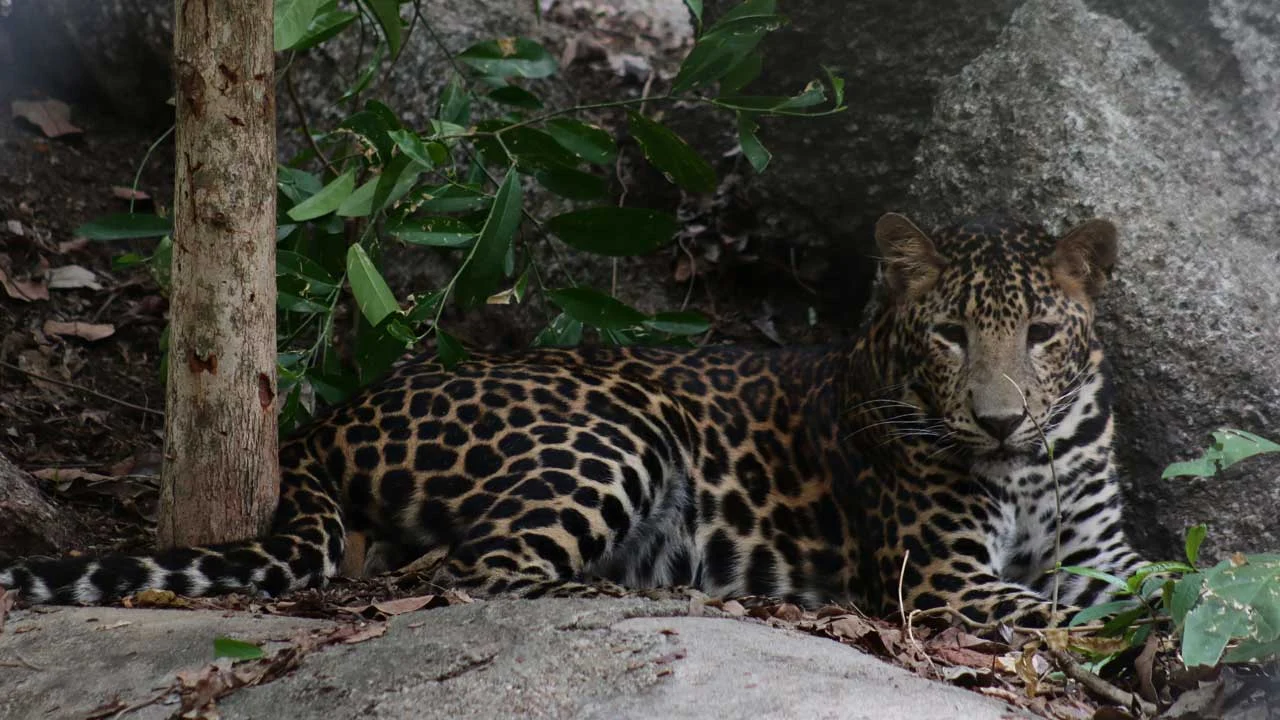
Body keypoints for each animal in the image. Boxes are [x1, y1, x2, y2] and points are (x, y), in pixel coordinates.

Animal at [0, 213, 1146, 629]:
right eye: (948, 334)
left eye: (1041, 333)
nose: (996, 422)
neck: (1034, 464)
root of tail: (326, 421)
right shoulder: (937, 577)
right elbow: (1070, 621)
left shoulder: (1099, 550)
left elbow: (1141, 593)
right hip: (616, 428)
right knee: (471, 572)